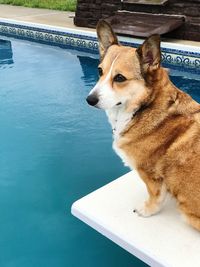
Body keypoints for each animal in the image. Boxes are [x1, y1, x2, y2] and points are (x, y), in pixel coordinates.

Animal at [86, 20, 200, 232]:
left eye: (120, 78)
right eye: (99, 71)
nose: (89, 100)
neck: (146, 105)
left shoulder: (149, 175)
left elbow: (155, 197)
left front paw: (146, 211)